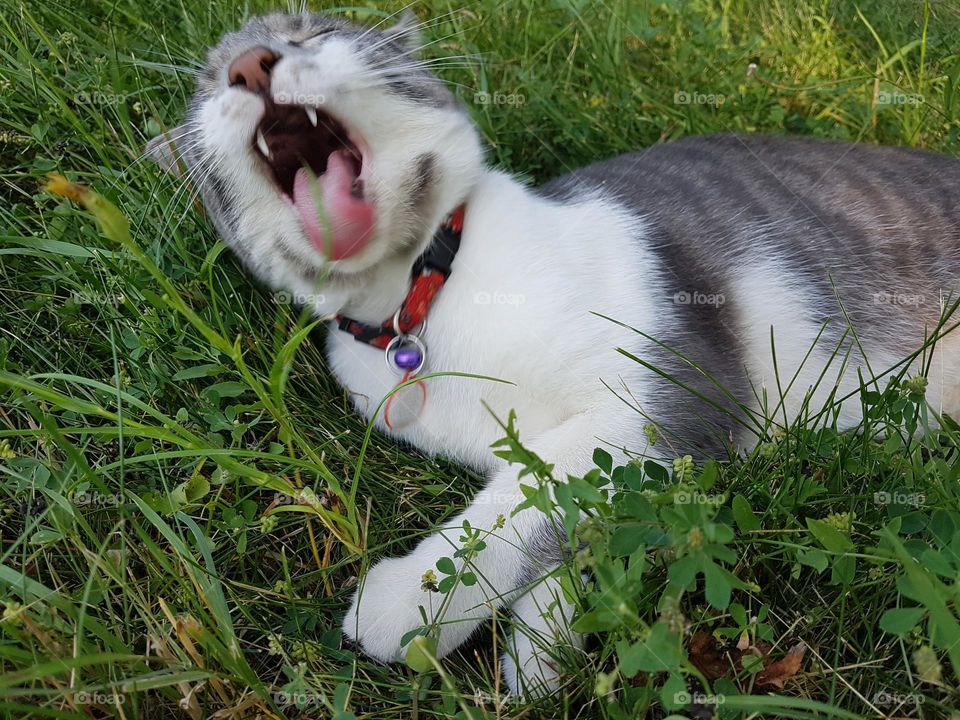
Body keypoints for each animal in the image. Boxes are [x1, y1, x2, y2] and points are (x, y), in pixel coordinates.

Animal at [148, 11, 960, 696]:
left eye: (309, 29)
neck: (425, 299)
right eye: (209, 81)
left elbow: (534, 498)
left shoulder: (674, 389)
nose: (249, 65)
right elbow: (568, 513)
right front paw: (545, 644)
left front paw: (415, 599)